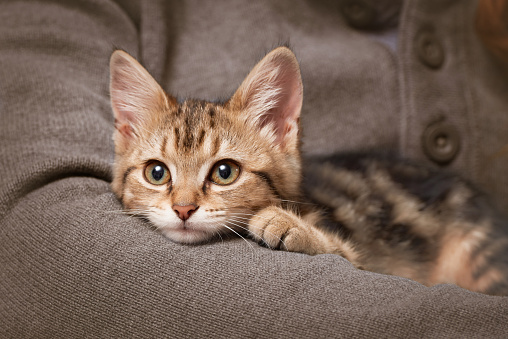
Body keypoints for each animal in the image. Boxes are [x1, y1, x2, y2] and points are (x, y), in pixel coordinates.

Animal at [110, 46, 508, 296]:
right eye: (157, 173)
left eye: (225, 172)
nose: (183, 209)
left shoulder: (365, 260)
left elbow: (342, 250)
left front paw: (289, 224)